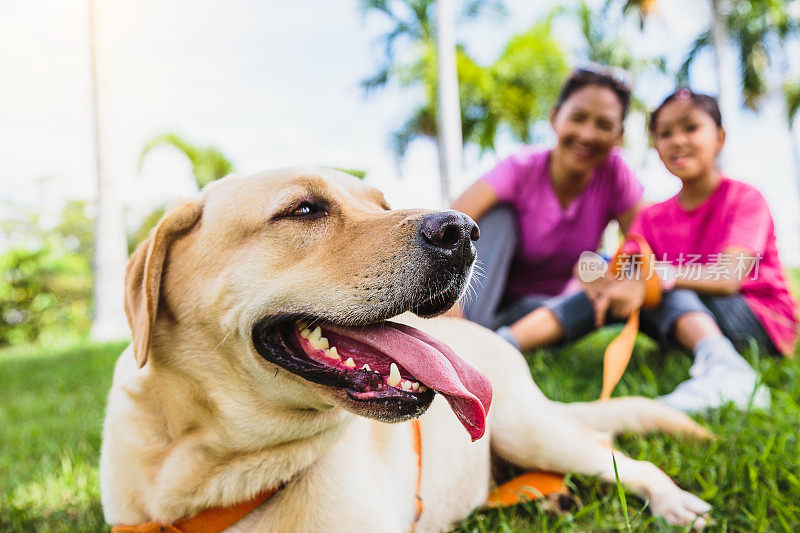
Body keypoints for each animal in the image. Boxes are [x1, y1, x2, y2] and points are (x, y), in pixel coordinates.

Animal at [101, 167, 712, 532]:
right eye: (303, 210)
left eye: (381, 203)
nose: (464, 232)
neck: (212, 470)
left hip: (527, 427)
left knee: (620, 456)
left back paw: (668, 500)